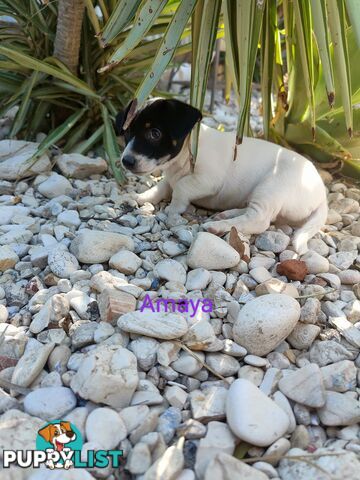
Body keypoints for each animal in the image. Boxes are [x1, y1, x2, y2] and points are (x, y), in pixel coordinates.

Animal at [116, 98, 328, 255]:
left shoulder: (208, 180)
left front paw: (174, 209)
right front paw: (140, 197)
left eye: (155, 133)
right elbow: (161, 188)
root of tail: (322, 196)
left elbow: (181, 187)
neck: (187, 153)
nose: (126, 161)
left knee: (259, 220)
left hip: (271, 187)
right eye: (127, 133)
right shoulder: (171, 176)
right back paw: (227, 214)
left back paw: (219, 225)